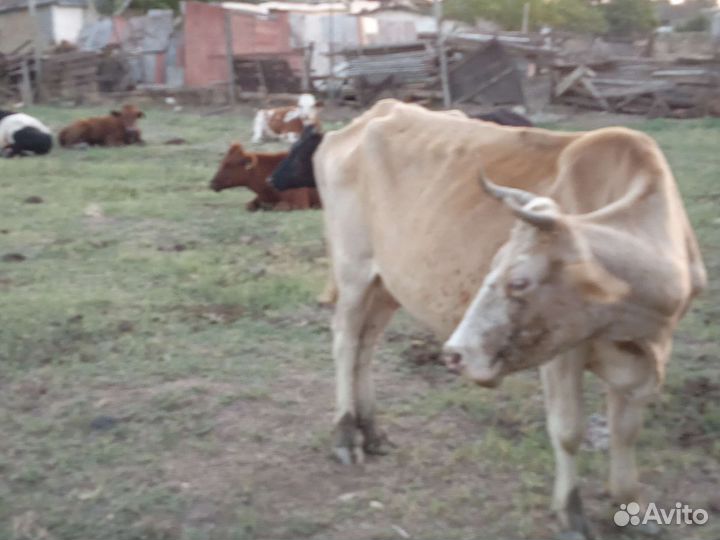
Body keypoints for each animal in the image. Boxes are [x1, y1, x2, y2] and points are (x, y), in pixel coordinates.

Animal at [313, 99, 706, 538]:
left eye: (519, 280)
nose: (455, 354)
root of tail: (377, 111)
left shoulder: (638, 353)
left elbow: (626, 430)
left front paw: (630, 504)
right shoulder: (562, 354)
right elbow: (568, 431)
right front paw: (570, 513)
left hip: (386, 283)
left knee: (366, 346)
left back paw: (373, 432)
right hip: (353, 270)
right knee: (345, 341)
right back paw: (345, 435)